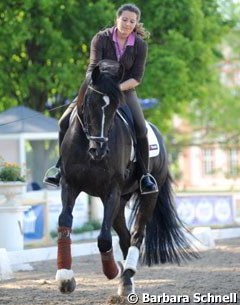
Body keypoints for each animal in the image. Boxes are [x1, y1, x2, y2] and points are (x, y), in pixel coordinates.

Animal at [55, 58, 198, 294]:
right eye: (90, 104)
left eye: (115, 108)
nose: (99, 150)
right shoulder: (70, 184)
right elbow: (64, 222)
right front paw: (65, 277)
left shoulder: (111, 191)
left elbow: (104, 238)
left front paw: (111, 271)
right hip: (120, 201)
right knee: (125, 237)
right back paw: (126, 281)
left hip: (147, 195)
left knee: (137, 235)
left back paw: (127, 275)